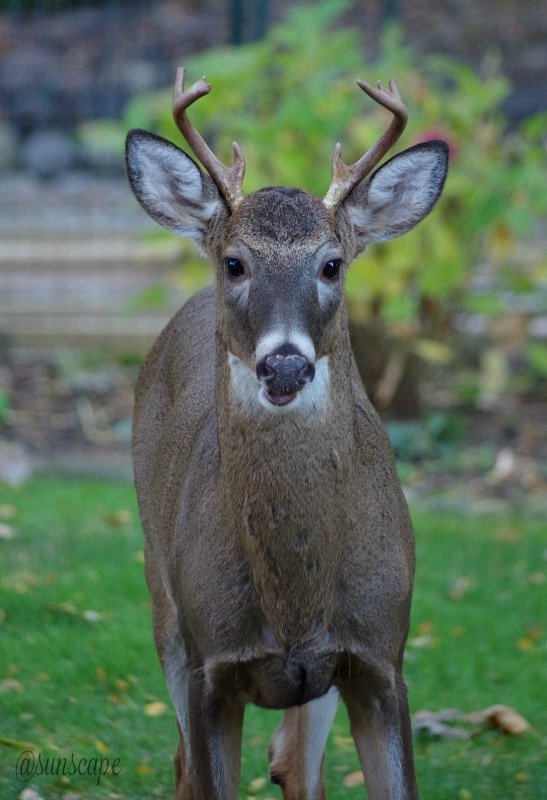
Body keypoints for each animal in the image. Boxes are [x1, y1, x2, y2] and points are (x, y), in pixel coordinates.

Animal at [126, 69, 448, 800]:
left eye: (332, 264)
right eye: (234, 263)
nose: (284, 364)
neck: (295, 605)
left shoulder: (381, 658)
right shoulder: (208, 666)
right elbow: (206, 773)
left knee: (296, 765)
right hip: (162, 595)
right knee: (185, 764)